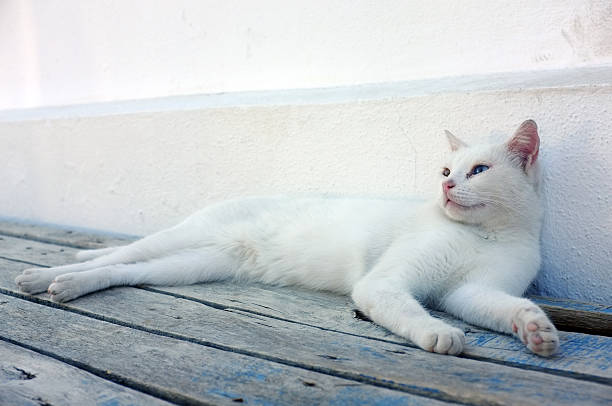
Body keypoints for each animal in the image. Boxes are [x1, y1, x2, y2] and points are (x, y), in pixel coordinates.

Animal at [14, 119, 560, 356]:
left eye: (479, 171)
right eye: (446, 171)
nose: (446, 186)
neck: (486, 236)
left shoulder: (470, 291)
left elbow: (501, 307)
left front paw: (536, 330)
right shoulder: (384, 284)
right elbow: (410, 310)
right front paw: (438, 333)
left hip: (189, 265)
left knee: (122, 271)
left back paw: (66, 285)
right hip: (178, 239)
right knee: (116, 253)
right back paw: (44, 276)